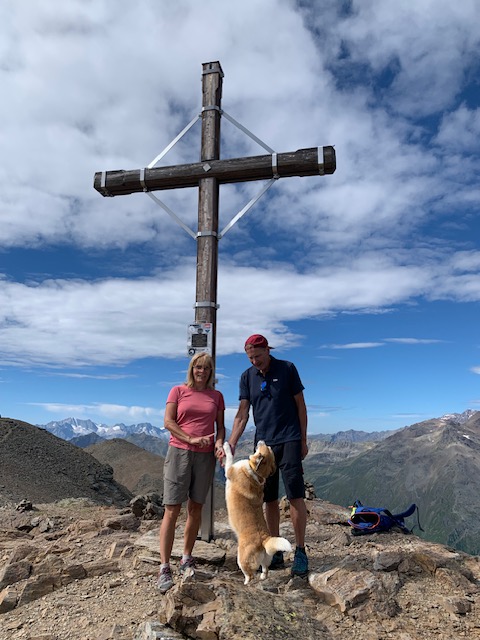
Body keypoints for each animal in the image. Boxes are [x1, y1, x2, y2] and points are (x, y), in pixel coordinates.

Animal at [222, 440, 292, 584]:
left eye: (266, 448)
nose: (262, 441)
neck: (255, 472)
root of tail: (264, 540)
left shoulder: (229, 470)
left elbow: (229, 457)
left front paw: (226, 446)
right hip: (266, 558)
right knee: (265, 568)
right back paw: (263, 576)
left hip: (242, 559)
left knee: (249, 575)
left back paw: (245, 583)